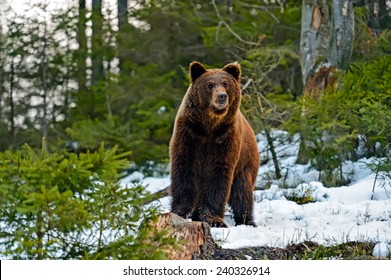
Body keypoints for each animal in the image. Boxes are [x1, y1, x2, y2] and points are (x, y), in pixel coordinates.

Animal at [169, 61, 258, 228]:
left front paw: (213, 219)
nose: (222, 96)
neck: (209, 126)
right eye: (209, 85)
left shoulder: (225, 137)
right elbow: (185, 168)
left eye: (225, 83)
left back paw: (247, 220)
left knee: (242, 191)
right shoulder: (190, 133)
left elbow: (218, 173)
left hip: (246, 163)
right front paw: (180, 211)